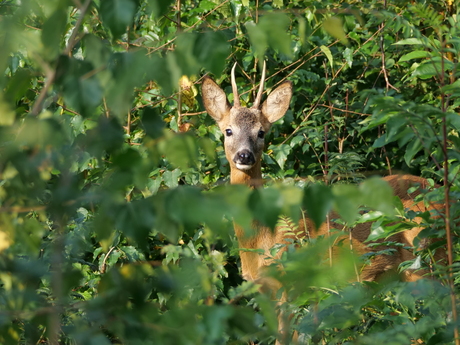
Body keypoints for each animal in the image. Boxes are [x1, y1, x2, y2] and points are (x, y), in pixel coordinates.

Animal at [201, 60, 446, 342]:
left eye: (261, 132)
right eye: (228, 131)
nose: (244, 155)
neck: (262, 239)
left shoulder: (292, 283)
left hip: (427, 259)